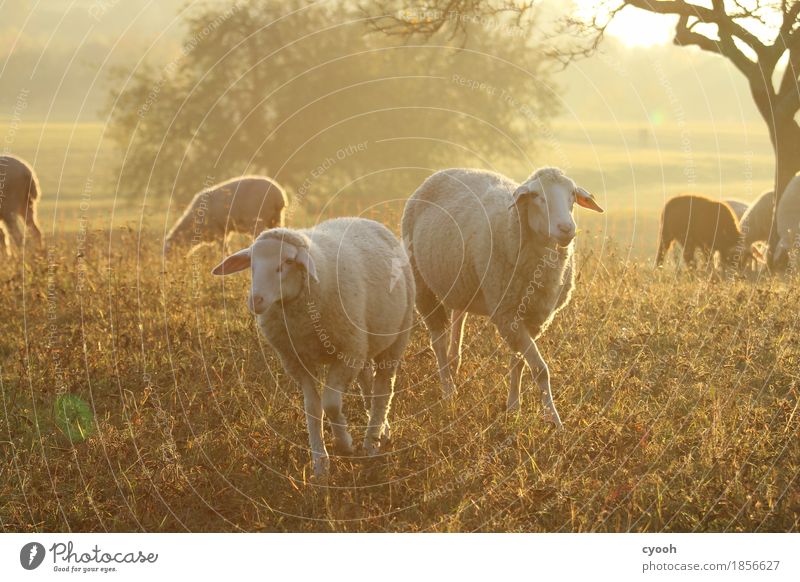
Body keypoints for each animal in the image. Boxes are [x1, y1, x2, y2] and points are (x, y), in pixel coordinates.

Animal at [209, 219, 416, 480]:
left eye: (287, 262)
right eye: (251, 264)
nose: (256, 301)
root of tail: (362, 220)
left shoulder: (346, 353)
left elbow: (331, 404)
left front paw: (345, 444)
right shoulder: (297, 361)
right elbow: (313, 409)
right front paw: (320, 464)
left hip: (394, 339)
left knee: (383, 390)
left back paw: (371, 443)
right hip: (364, 344)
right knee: (368, 383)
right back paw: (381, 432)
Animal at [404, 167, 604, 432]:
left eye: (572, 194)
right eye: (537, 196)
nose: (566, 228)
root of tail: (441, 173)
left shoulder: (534, 317)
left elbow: (518, 363)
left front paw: (513, 409)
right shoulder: (507, 314)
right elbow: (540, 369)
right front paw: (554, 421)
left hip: (462, 283)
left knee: (459, 316)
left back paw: (455, 363)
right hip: (422, 283)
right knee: (437, 339)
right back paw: (448, 390)